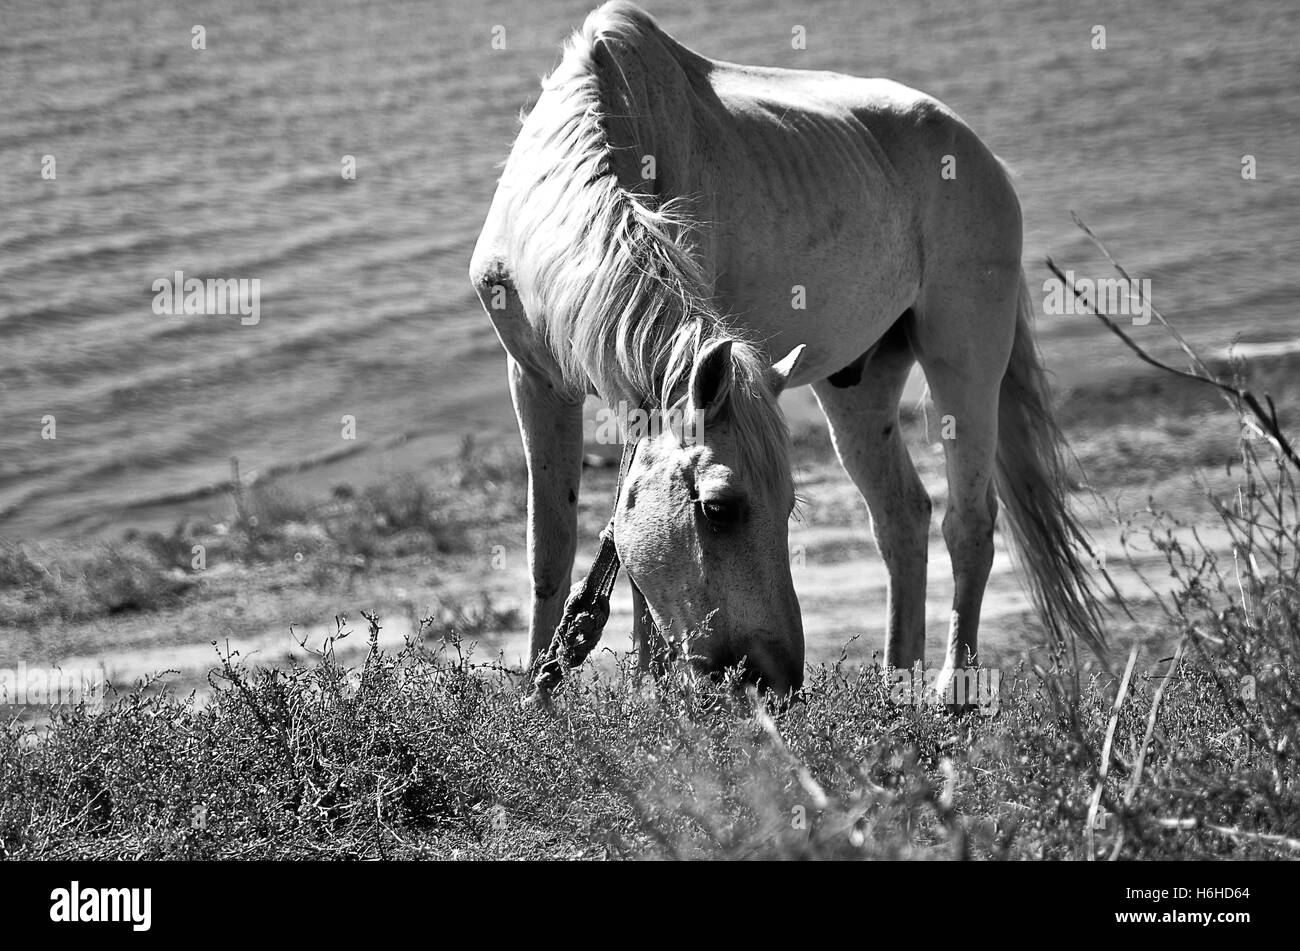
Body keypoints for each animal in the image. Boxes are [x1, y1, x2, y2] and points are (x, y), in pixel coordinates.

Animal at [469, 1, 1108, 696]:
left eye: (789, 507)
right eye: (720, 509)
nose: (773, 677)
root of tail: (981, 155)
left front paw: (649, 703)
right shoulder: (535, 380)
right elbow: (549, 551)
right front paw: (541, 696)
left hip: (964, 361)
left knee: (968, 523)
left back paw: (950, 696)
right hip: (859, 384)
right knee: (902, 518)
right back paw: (896, 692)